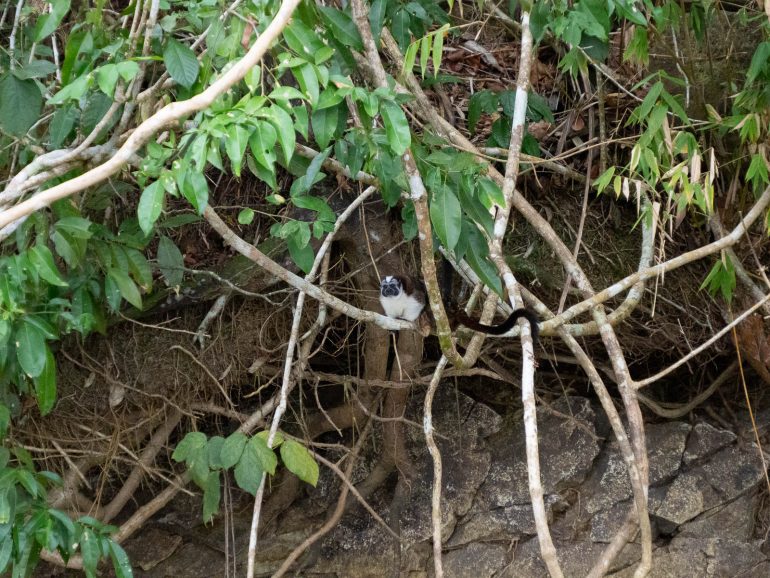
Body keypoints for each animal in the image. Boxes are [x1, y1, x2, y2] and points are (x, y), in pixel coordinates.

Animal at [379, 272, 539, 341]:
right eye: (385, 287)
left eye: (392, 287)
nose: (388, 290)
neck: (396, 299)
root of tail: (455, 310)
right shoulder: (386, 303)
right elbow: (390, 315)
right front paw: (393, 326)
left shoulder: (412, 295)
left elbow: (420, 303)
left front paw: (410, 320)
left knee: (431, 306)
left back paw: (427, 323)